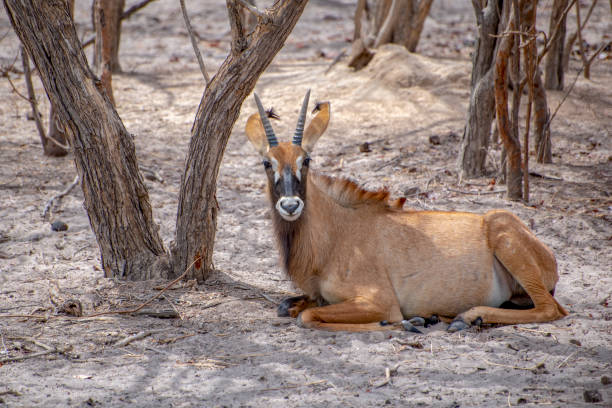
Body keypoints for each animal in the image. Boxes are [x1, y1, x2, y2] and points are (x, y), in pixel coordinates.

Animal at [244, 90, 568, 332]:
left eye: (307, 160)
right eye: (267, 162)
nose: (290, 205)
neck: (335, 233)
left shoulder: (379, 301)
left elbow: (308, 317)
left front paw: (401, 323)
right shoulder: (318, 296)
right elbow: (288, 306)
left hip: (507, 240)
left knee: (551, 309)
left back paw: (466, 316)